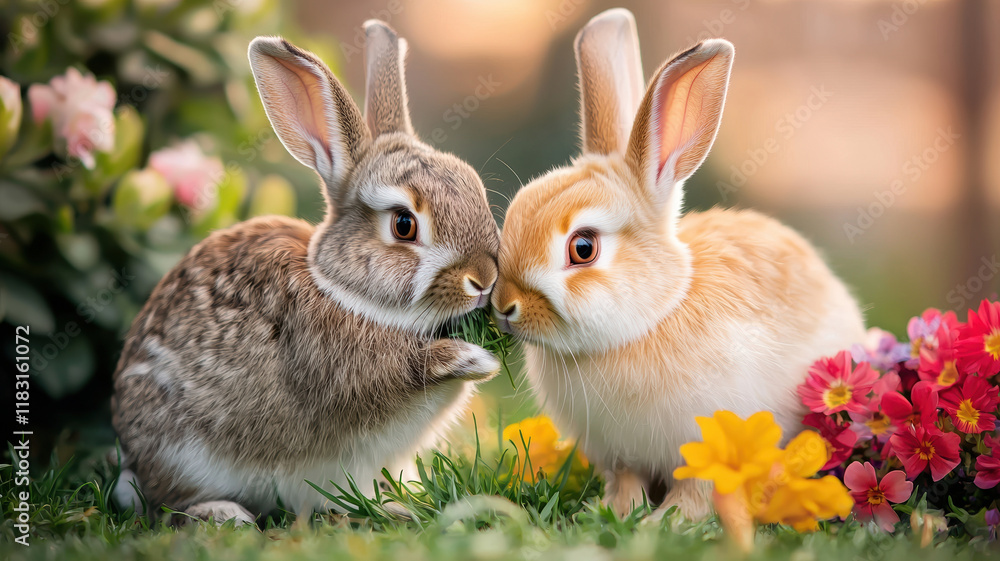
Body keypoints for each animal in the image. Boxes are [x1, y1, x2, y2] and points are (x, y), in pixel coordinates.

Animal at [111, 21, 502, 525]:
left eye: (474, 186)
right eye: (404, 225)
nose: (484, 279)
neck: (341, 290)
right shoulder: (341, 366)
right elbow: (403, 369)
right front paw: (474, 359)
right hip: (184, 452)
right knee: (165, 503)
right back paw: (224, 513)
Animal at [491, 8, 866, 521]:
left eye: (583, 248)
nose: (504, 306)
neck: (651, 318)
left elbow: (698, 487)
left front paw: (668, 520)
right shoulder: (619, 454)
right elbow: (626, 480)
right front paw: (615, 511)